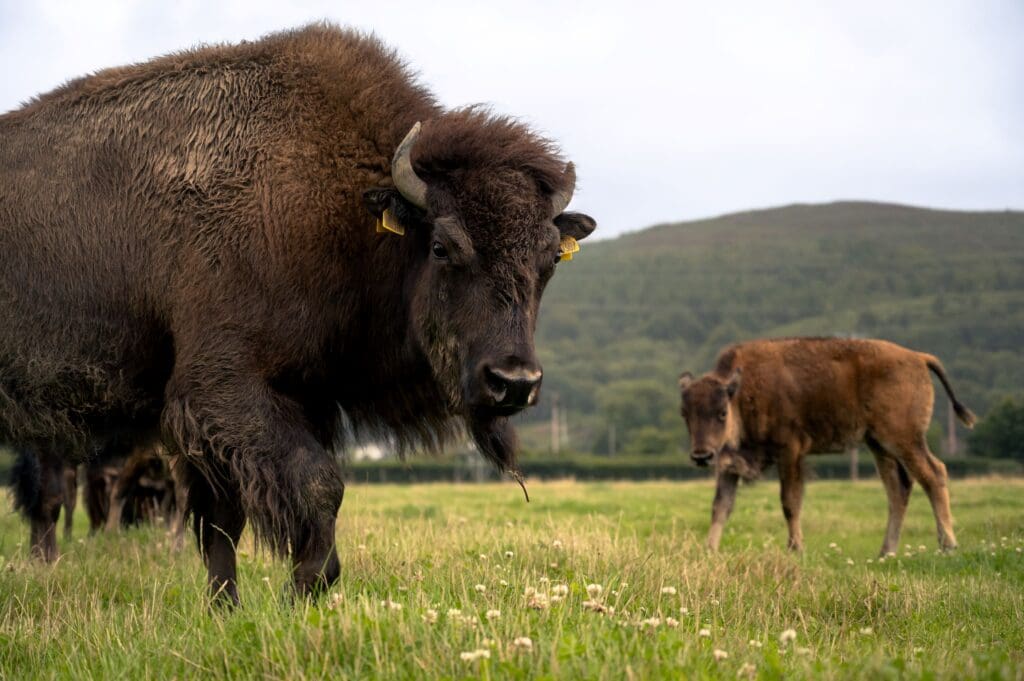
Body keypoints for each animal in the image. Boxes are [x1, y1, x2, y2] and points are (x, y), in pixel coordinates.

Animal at [0, 24, 595, 603]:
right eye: (442, 246)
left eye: (548, 259)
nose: (514, 382)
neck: (343, 206)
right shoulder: (222, 389)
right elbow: (317, 486)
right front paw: (304, 586)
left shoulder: (291, 401)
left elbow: (224, 520)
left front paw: (227, 607)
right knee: (50, 495)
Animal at [678, 338, 975, 555]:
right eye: (685, 414)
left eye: (721, 413)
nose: (701, 455)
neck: (741, 393)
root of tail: (919, 357)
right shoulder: (729, 465)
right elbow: (720, 507)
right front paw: (709, 550)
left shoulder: (790, 452)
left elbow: (789, 501)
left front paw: (795, 548)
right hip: (878, 444)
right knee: (898, 488)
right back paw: (886, 552)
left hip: (904, 439)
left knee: (932, 474)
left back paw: (947, 545)